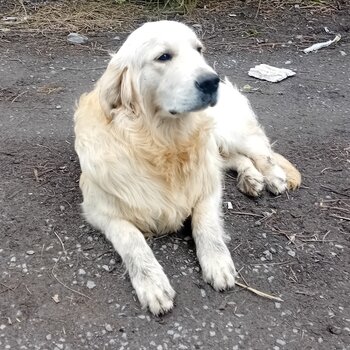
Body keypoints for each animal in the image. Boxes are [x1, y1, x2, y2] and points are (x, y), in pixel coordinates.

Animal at [74, 20, 300, 316]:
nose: (211, 81)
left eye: (198, 49)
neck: (164, 144)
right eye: (163, 56)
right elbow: (133, 241)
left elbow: (207, 225)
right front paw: (153, 284)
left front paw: (217, 263)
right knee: (238, 158)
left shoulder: (207, 189)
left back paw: (273, 176)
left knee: (260, 151)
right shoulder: (100, 210)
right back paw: (251, 178)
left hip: (228, 131)